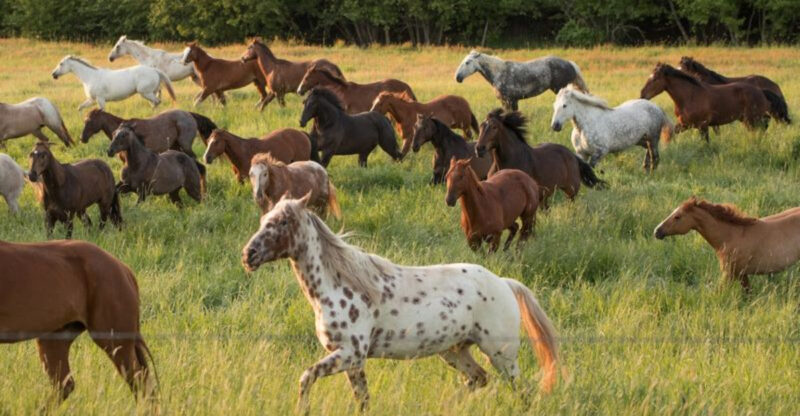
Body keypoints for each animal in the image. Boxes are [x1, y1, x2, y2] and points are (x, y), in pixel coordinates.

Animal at [241, 195, 558, 412]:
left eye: (282, 222)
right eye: (263, 220)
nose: (248, 254)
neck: (340, 285)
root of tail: (504, 283)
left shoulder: (350, 354)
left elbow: (306, 377)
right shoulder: (354, 363)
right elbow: (363, 400)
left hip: (501, 354)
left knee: (522, 391)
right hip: (455, 351)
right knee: (479, 380)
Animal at [455, 50, 589, 111]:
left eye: (467, 62)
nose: (457, 77)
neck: (499, 73)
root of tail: (570, 64)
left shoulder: (508, 100)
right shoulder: (512, 101)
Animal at [640, 63, 779, 142]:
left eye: (655, 78)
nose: (642, 94)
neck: (690, 96)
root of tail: (761, 91)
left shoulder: (703, 125)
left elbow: (706, 143)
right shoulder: (685, 124)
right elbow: (670, 134)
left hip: (753, 119)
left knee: (762, 128)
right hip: (748, 120)